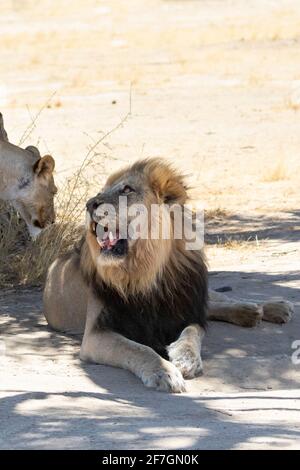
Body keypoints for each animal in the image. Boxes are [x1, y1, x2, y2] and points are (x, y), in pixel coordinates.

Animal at [43, 158, 294, 392]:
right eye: (99, 193)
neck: (147, 271)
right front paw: (164, 372)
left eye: (127, 190)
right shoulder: (97, 333)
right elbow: (138, 349)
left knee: (218, 300)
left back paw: (269, 307)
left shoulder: (187, 310)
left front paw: (186, 359)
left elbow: (193, 333)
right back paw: (252, 312)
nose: (89, 204)